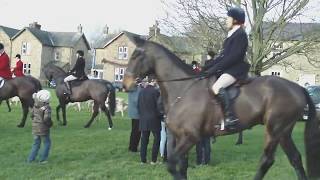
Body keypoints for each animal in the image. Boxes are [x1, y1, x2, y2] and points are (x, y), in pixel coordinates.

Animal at [123, 37, 320, 179]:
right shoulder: (179, 137)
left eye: (136, 56)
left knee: (267, 160)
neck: (183, 89)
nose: (125, 85)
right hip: (284, 132)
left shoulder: (191, 137)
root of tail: (298, 87)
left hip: (275, 129)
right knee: (295, 158)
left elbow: (172, 165)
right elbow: (182, 167)